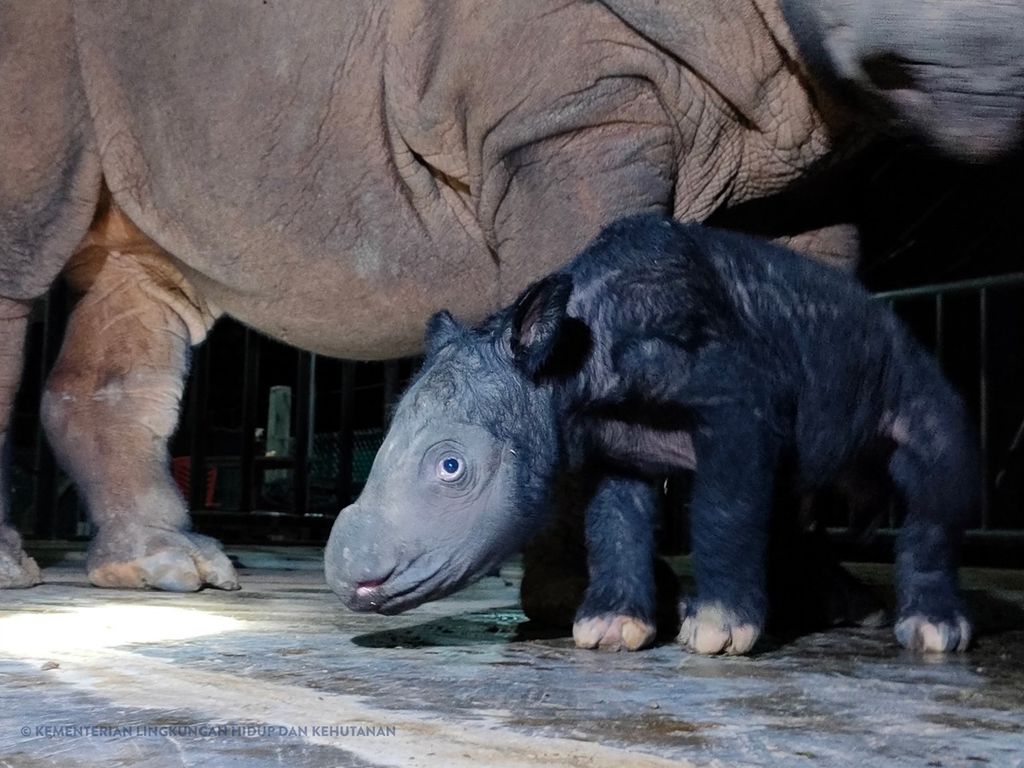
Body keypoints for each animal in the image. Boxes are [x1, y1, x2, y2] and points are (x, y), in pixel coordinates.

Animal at [2, 0, 1024, 593]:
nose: (984, 56)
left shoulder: (809, 159)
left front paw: (805, 593)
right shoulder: (565, 113)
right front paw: (581, 601)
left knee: (146, 278)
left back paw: (168, 572)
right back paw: (28, 573)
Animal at [325, 215, 974, 655]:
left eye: (451, 467)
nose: (345, 573)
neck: (571, 355)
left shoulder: (736, 399)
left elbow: (725, 504)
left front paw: (716, 631)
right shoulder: (611, 440)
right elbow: (615, 519)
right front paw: (610, 629)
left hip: (906, 357)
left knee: (933, 460)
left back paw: (930, 631)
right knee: (796, 500)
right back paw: (844, 611)